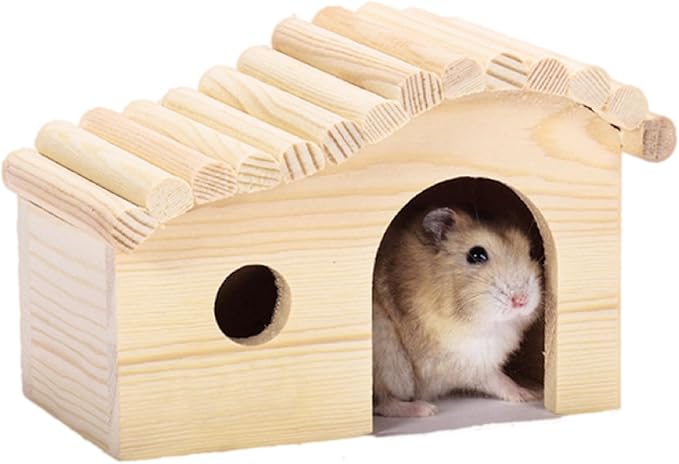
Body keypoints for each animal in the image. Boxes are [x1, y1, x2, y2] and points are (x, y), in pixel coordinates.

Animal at [373, 207, 543, 417]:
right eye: (476, 255)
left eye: (531, 252)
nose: (521, 300)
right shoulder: (461, 363)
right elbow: (496, 378)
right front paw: (528, 395)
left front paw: (533, 393)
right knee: (384, 403)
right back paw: (426, 409)